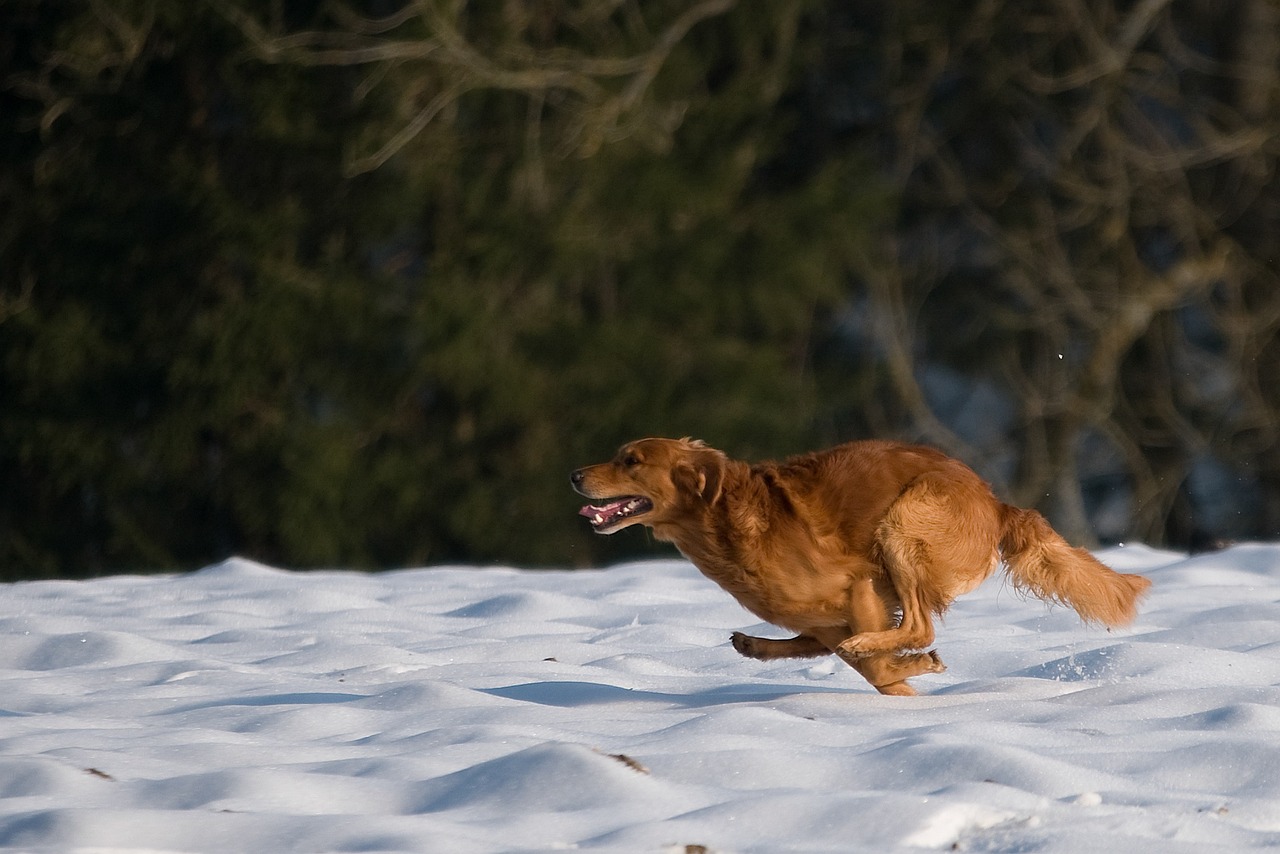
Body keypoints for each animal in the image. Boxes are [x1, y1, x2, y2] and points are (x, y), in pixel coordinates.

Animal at [570, 440, 1152, 696]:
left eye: (630, 461)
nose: (574, 474)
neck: (724, 519)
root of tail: (995, 502)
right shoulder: (827, 615)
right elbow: (858, 662)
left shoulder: (859, 588)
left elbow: (876, 660)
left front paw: (913, 675)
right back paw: (757, 645)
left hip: (902, 525)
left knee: (918, 625)